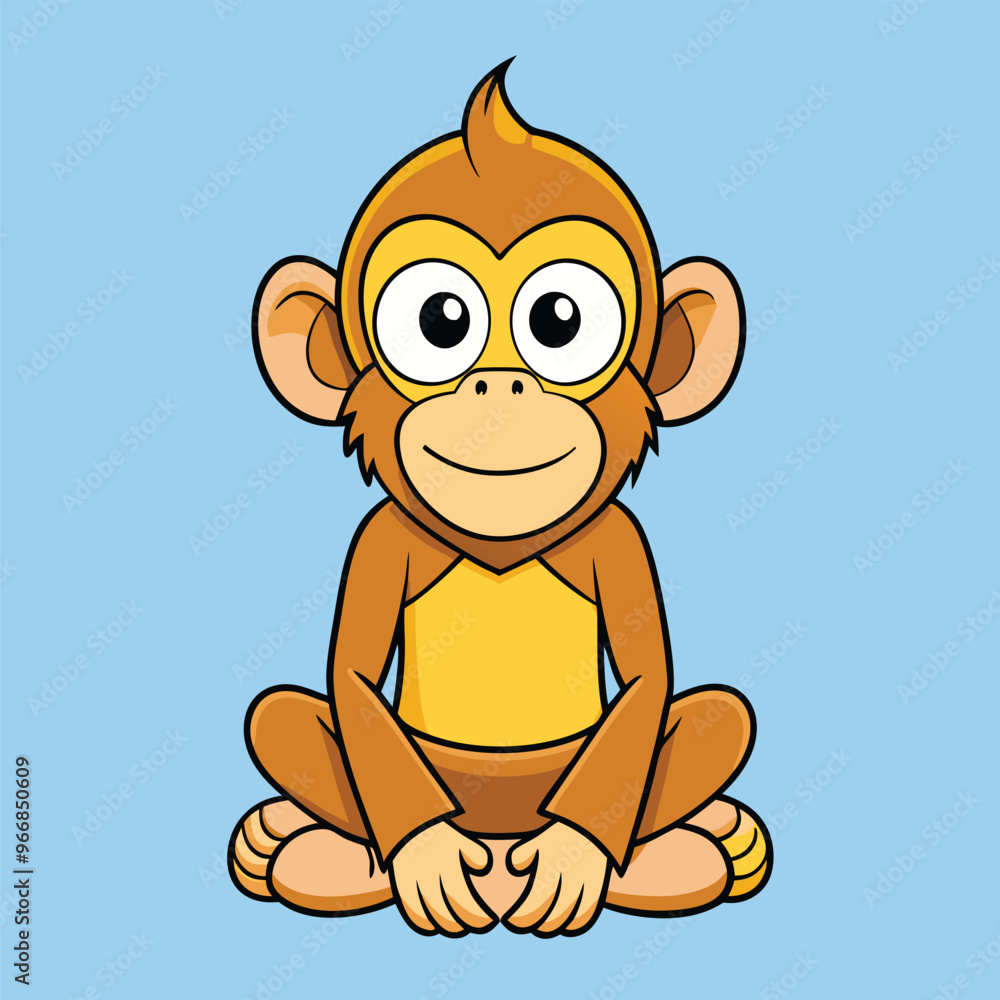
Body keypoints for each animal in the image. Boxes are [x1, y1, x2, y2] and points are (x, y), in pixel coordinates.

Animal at [228, 59, 771, 937]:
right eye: (440, 320)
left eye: (560, 320)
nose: (500, 384)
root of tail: (500, 834)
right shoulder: (379, 540)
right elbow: (350, 678)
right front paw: (422, 860)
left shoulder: (620, 540)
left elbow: (649, 680)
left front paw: (577, 860)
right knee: (278, 716)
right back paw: (311, 852)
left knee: (721, 714)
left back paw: (685, 854)